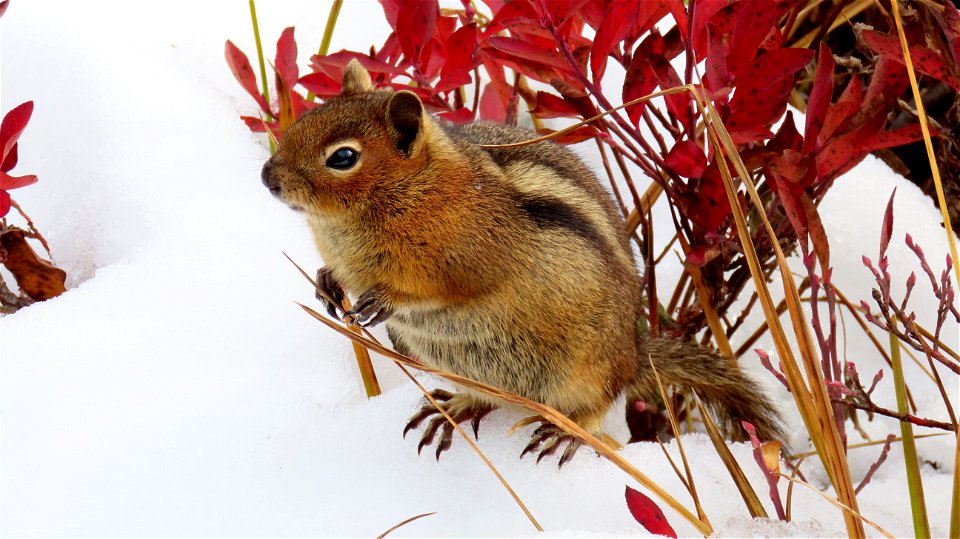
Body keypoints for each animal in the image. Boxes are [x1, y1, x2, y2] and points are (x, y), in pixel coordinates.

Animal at [260, 58, 780, 464]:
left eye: (343, 157)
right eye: (301, 122)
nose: (267, 177)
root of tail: (634, 356)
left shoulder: (465, 254)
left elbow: (440, 287)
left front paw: (384, 298)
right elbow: (335, 273)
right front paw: (326, 282)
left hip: (587, 371)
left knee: (597, 407)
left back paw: (562, 432)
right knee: (487, 398)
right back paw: (455, 409)